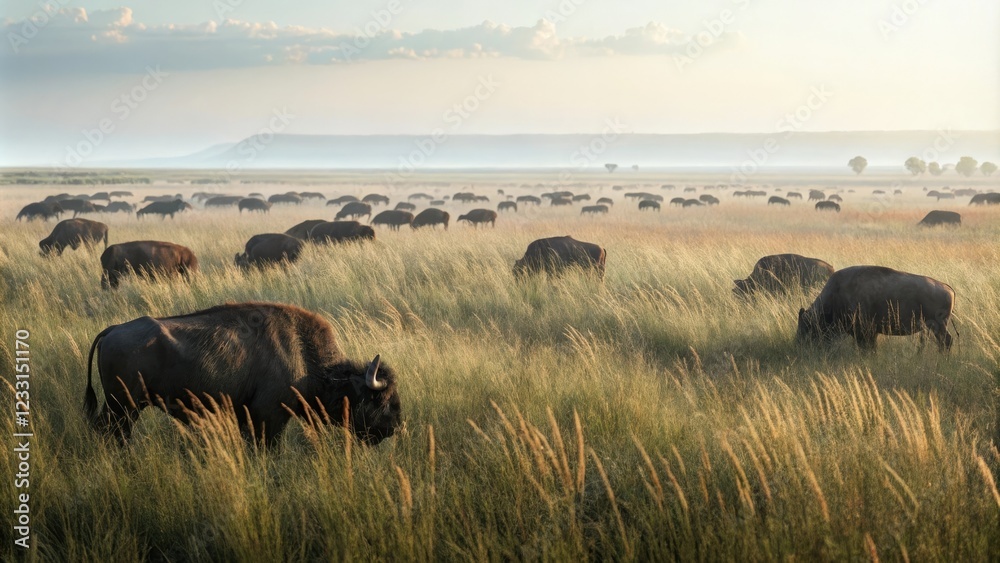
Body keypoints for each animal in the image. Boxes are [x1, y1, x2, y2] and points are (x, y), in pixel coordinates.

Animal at [84, 302, 402, 445]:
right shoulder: (268, 415)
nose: (396, 427)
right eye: (379, 399)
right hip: (124, 405)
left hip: (123, 406)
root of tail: (113, 330)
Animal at [797, 266, 955, 351]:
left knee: (946, 341)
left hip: (938, 326)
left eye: (807, 327)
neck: (836, 294)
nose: (798, 344)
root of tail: (947, 288)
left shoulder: (865, 333)